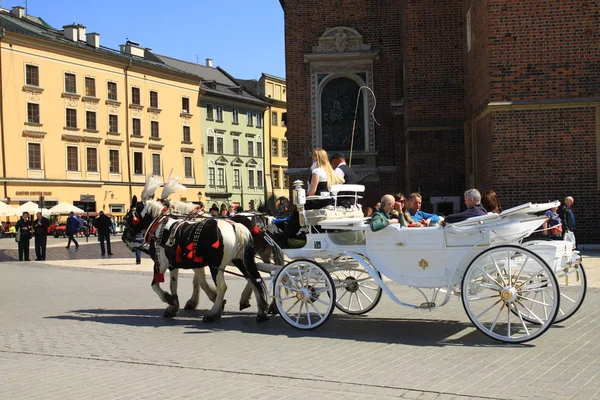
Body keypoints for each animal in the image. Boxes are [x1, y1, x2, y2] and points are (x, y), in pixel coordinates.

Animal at [123, 195, 268, 324]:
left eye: (128, 217)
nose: (125, 237)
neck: (160, 226)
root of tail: (235, 226)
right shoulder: (174, 264)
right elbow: (174, 284)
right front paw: (174, 306)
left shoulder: (160, 264)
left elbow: (155, 285)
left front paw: (169, 299)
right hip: (241, 261)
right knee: (254, 280)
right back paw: (260, 311)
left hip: (216, 266)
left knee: (223, 287)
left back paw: (213, 313)